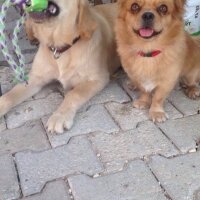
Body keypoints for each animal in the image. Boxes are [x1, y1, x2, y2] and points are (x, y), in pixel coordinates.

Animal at [0, 1, 120, 134]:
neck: (60, 48)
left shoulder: (97, 79)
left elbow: (73, 94)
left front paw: (59, 117)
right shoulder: (35, 78)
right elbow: (9, 95)